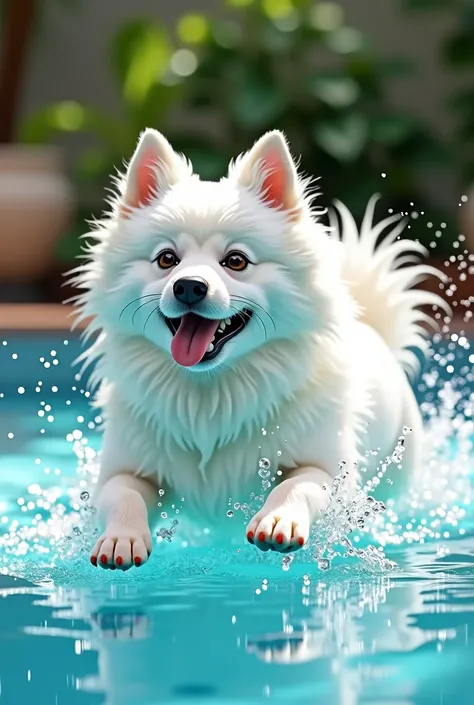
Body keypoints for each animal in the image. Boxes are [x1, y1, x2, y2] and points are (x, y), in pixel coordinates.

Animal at [71, 125, 444, 568]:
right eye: (166, 260)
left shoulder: (324, 467)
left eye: (235, 261)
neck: (211, 394)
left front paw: (279, 518)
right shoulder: (126, 467)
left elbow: (298, 485)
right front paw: (121, 538)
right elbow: (122, 494)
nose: (189, 286)